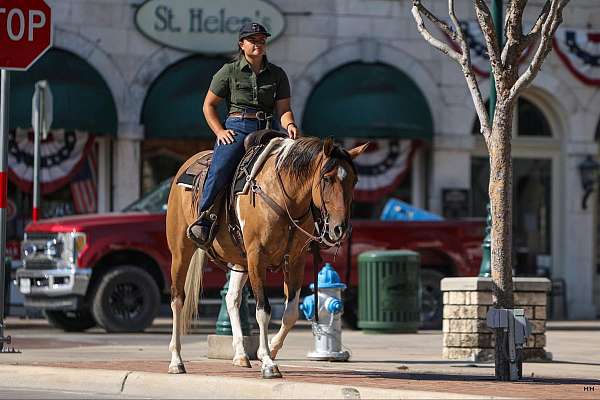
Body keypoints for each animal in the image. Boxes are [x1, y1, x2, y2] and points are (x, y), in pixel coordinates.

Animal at [166, 135, 368, 378]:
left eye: (355, 181)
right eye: (327, 179)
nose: (340, 229)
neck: (283, 197)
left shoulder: (295, 260)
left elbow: (291, 313)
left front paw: (271, 349)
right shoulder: (257, 257)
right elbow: (263, 311)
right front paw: (268, 363)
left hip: (240, 260)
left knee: (232, 298)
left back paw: (240, 355)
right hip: (181, 251)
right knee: (177, 300)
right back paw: (176, 360)